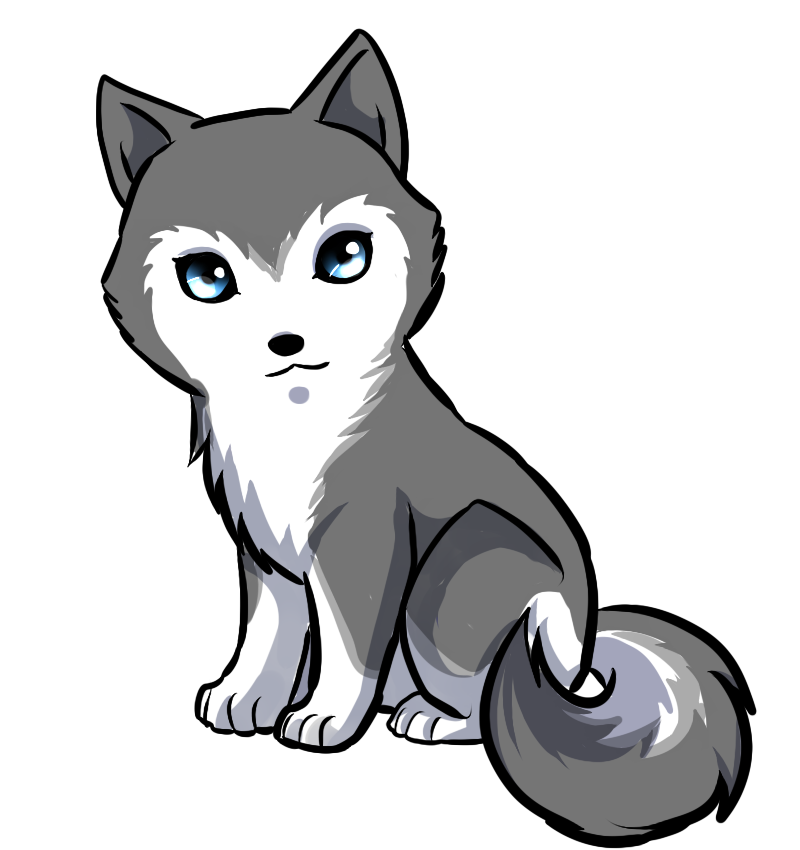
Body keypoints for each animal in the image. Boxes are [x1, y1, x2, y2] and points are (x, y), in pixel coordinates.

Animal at [101, 34, 741, 836]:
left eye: (343, 257)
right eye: (208, 278)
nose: (286, 342)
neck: (292, 430)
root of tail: (586, 652)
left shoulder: (362, 540)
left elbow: (347, 647)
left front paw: (325, 718)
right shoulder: (266, 552)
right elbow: (272, 635)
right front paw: (248, 698)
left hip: (456, 570)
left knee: (484, 701)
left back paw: (434, 718)